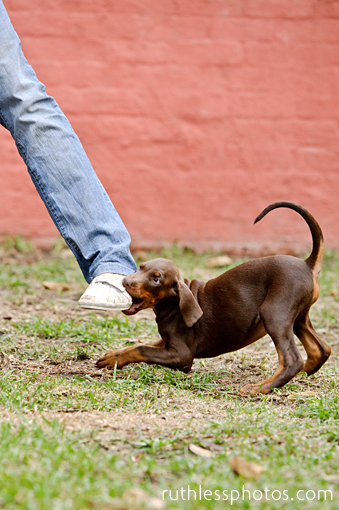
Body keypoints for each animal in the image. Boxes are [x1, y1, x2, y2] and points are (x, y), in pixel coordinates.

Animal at [97, 202, 330, 394]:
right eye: (140, 267)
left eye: (156, 279)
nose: (125, 281)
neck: (173, 305)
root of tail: (307, 263)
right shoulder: (166, 342)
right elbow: (142, 344)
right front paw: (113, 356)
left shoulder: (182, 355)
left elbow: (142, 348)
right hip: (298, 317)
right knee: (321, 350)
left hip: (274, 314)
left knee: (292, 360)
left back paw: (260, 388)